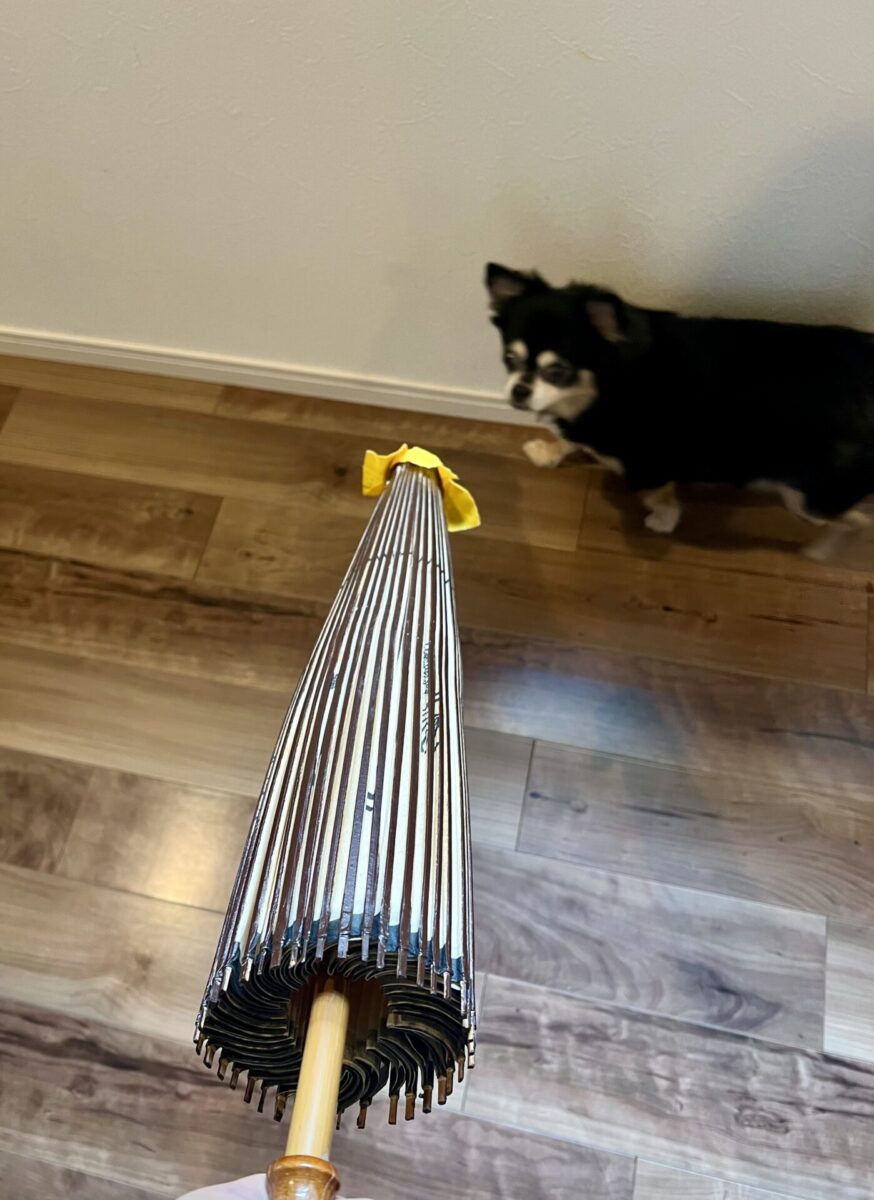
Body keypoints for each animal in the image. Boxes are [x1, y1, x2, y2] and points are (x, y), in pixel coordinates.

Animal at [485, 261, 874, 559]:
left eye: (557, 371)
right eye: (510, 358)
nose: (519, 391)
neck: (604, 383)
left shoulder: (647, 462)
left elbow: (655, 495)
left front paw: (665, 520)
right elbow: (570, 440)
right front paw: (547, 452)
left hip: (811, 494)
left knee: (859, 522)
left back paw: (824, 548)